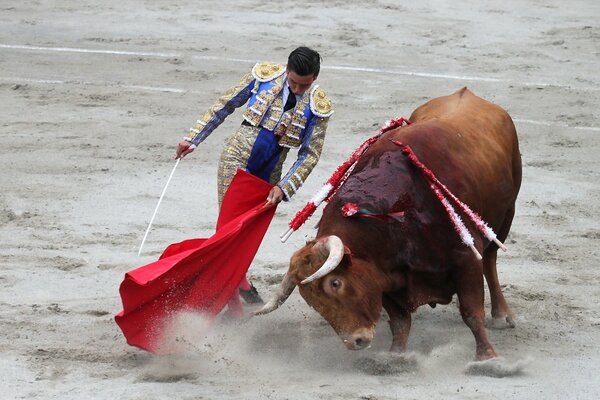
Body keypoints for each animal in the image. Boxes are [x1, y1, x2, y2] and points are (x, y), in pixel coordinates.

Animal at [255, 86, 524, 360]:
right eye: (310, 299)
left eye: (335, 283)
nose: (355, 341)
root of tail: (467, 93)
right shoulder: (384, 273)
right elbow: (399, 320)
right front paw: (396, 357)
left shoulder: (466, 258)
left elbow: (471, 312)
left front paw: (487, 356)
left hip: (506, 214)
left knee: (490, 261)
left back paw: (501, 315)